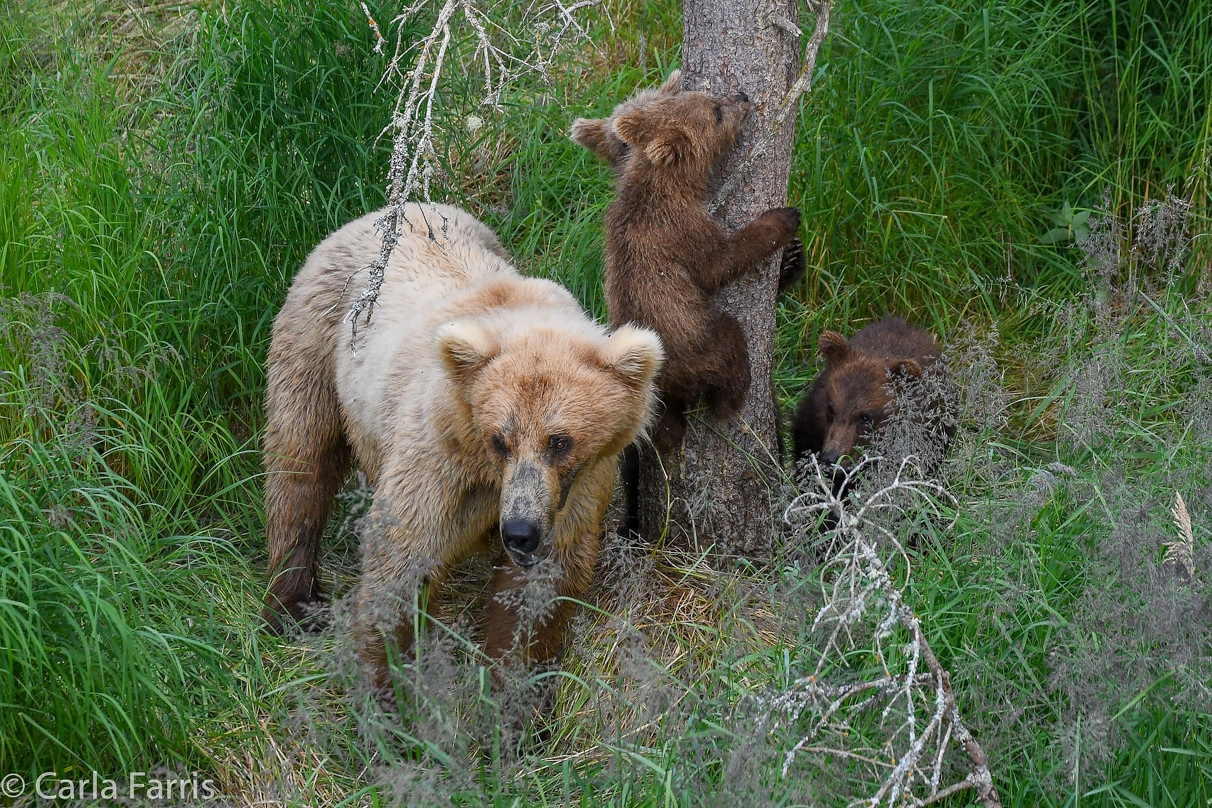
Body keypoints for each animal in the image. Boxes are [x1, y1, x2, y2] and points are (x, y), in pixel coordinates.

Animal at [260, 205, 669, 688]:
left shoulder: (578, 485)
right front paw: (389, 686)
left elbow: (538, 591)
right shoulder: (441, 458)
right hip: (317, 338)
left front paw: (513, 688)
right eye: (500, 439)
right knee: (300, 462)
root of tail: (378, 212)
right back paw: (295, 604)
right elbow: (402, 560)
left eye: (559, 441)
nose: (519, 532)